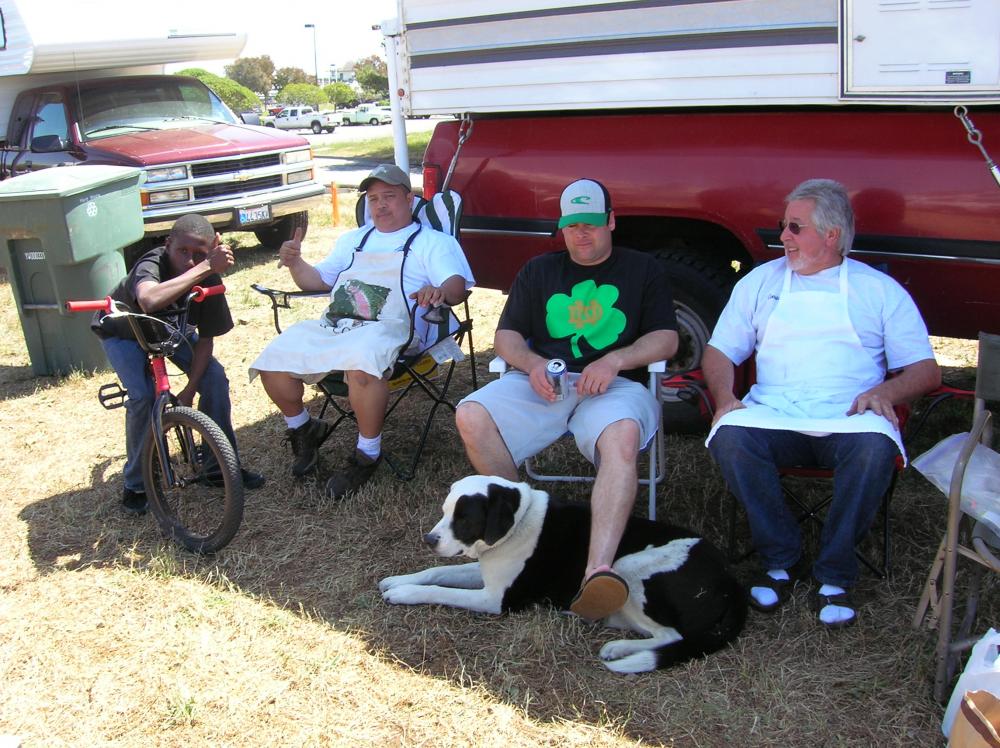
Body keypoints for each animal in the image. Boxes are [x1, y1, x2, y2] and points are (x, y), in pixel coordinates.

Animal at [378, 476, 748, 676]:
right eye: (444, 512)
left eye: (465, 518)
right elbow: (437, 571)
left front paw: (403, 593)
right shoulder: (486, 574)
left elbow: (441, 591)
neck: (519, 521)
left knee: (671, 635)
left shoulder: (495, 599)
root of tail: (731, 580)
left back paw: (620, 649)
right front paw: (399, 580)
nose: (429, 539)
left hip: (628, 567)